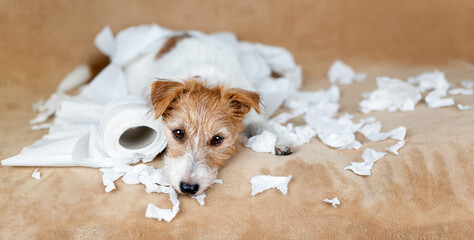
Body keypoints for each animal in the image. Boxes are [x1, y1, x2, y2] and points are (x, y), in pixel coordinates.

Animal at [124, 33, 290, 195]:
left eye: (217, 139)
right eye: (178, 133)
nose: (188, 188)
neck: (207, 80)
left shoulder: (251, 115)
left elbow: (260, 124)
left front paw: (277, 140)